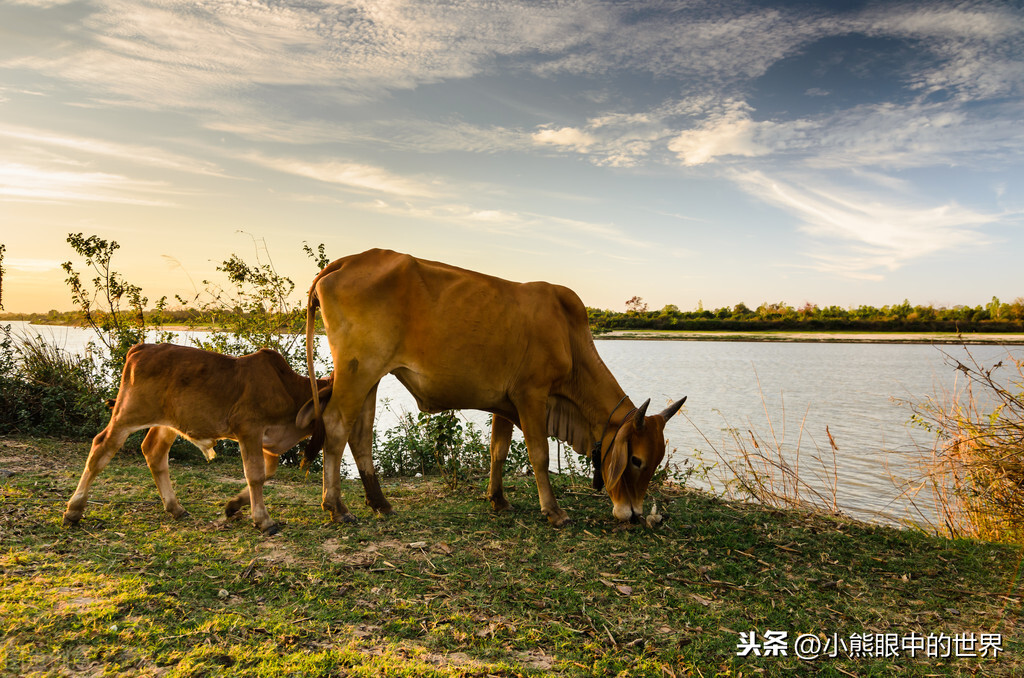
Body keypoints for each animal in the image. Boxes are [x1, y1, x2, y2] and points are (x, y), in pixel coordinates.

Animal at [62, 346, 331, 536]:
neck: (288, 388)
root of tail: (141, 348)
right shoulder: (249, 429)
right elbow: (255, 474)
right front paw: (263, 520)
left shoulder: (267, 441)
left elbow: (268, 472)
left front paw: (234, 505)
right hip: (127, 414)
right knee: (101, 448)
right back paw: (74, 510)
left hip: (167, 423)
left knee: (154, 452)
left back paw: (175, 508)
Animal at [303, 248, 688, 524]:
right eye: (636, 460)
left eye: (655, 462)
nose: (635, 515)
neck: (568, 334)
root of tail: (344, 262)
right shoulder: (532, 395)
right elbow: (538, 454)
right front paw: (554, 512)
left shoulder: (506, 403)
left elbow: (498, 451)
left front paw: (499, 500)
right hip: (358, 372)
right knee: (337, 427)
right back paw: (337, 508)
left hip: (370, 376)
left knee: (360, 435)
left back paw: (380, 503)